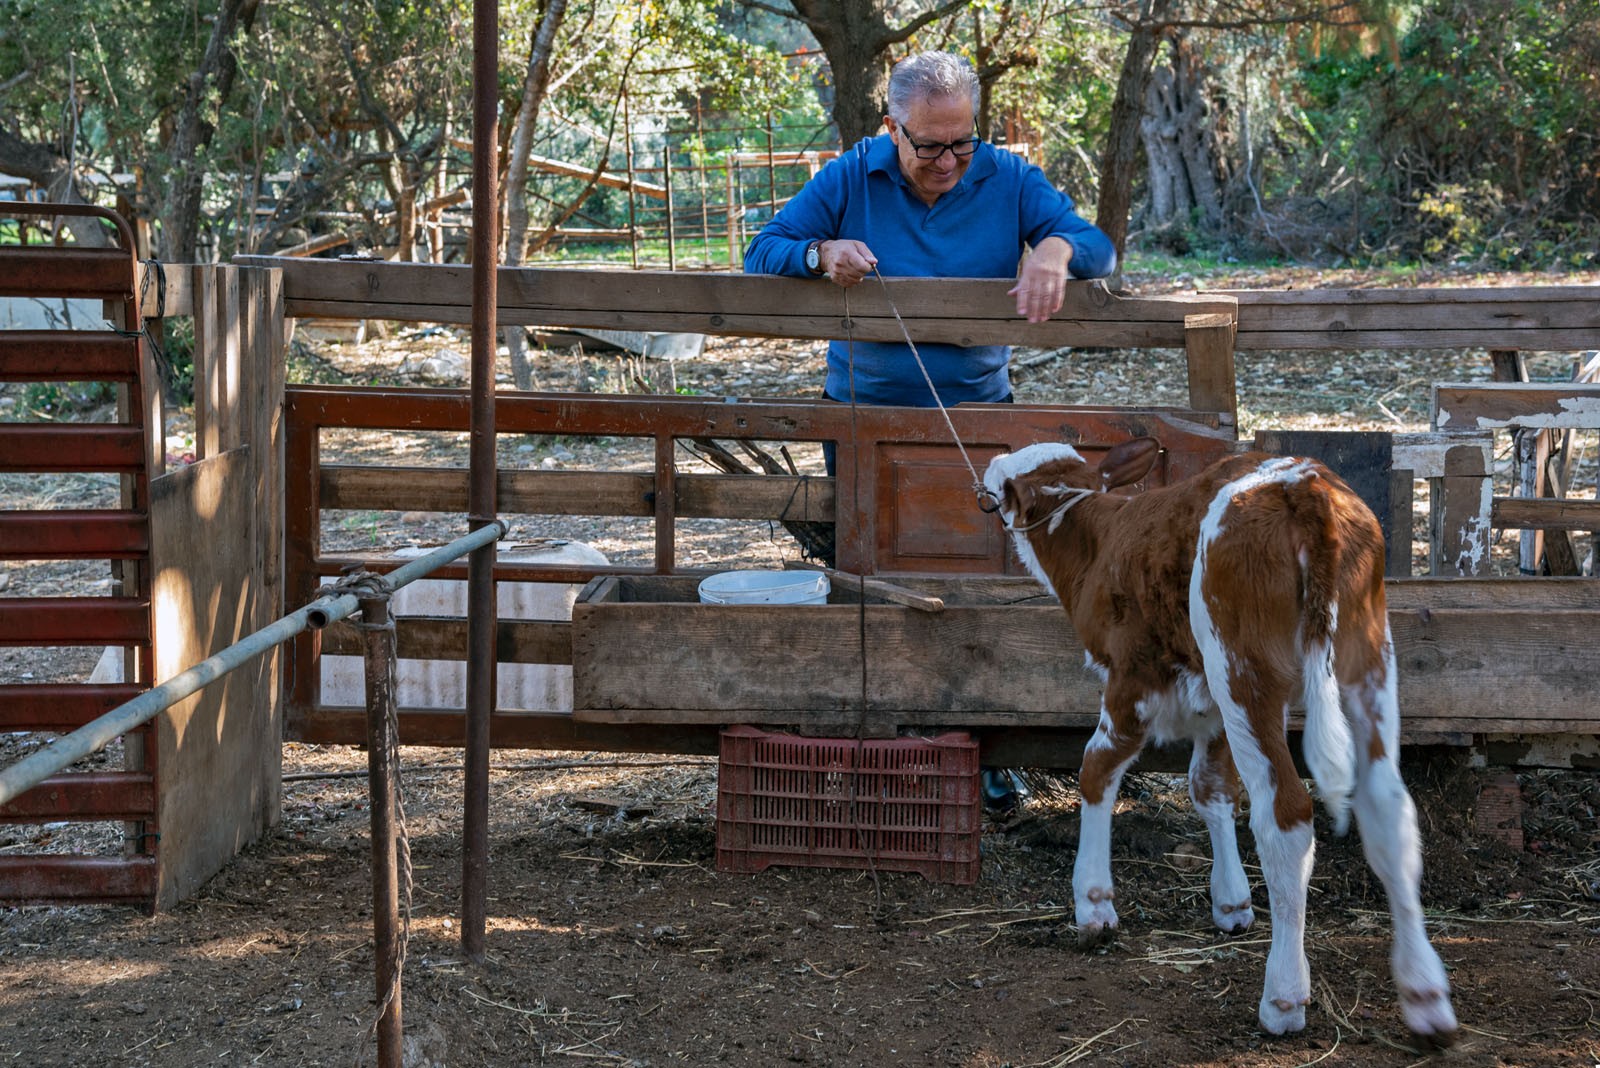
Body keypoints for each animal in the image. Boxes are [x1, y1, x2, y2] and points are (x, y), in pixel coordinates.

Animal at [979, 434, 1459, 1042]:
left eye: (1003, 489)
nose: (985, 474)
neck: (1099, 537)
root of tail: (1304, 486)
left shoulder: (1134, 679)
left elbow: (1097, 769)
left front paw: (1093, 903)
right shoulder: (1208, 700)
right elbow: (1210, 787)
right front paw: (1231, 902)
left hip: (1246, 668)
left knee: (1286, 817)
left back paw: (1283, 997)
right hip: (1365, 655)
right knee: (1389, 807)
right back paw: (1425, 995)